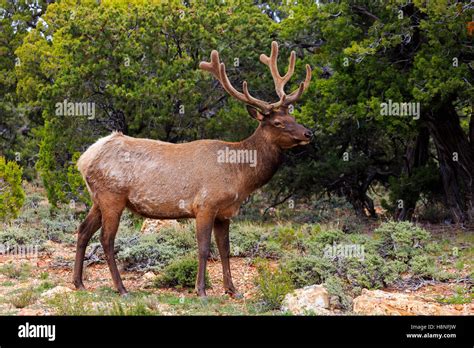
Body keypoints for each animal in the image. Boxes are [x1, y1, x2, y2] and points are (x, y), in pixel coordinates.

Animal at [73, 40, 312, 296]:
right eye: (277, 122)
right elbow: (204, 248)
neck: (239, 175)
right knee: (106, 239)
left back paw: (78, 282)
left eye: (292, 116)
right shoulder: (205, 204)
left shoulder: (225, 212)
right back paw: (121, 288)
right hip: (112, 196)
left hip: (98, 199)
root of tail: (85, 158)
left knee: (83, 230)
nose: (308, 133)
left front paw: (232, 289)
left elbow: (225, 249)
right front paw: (201, 290)